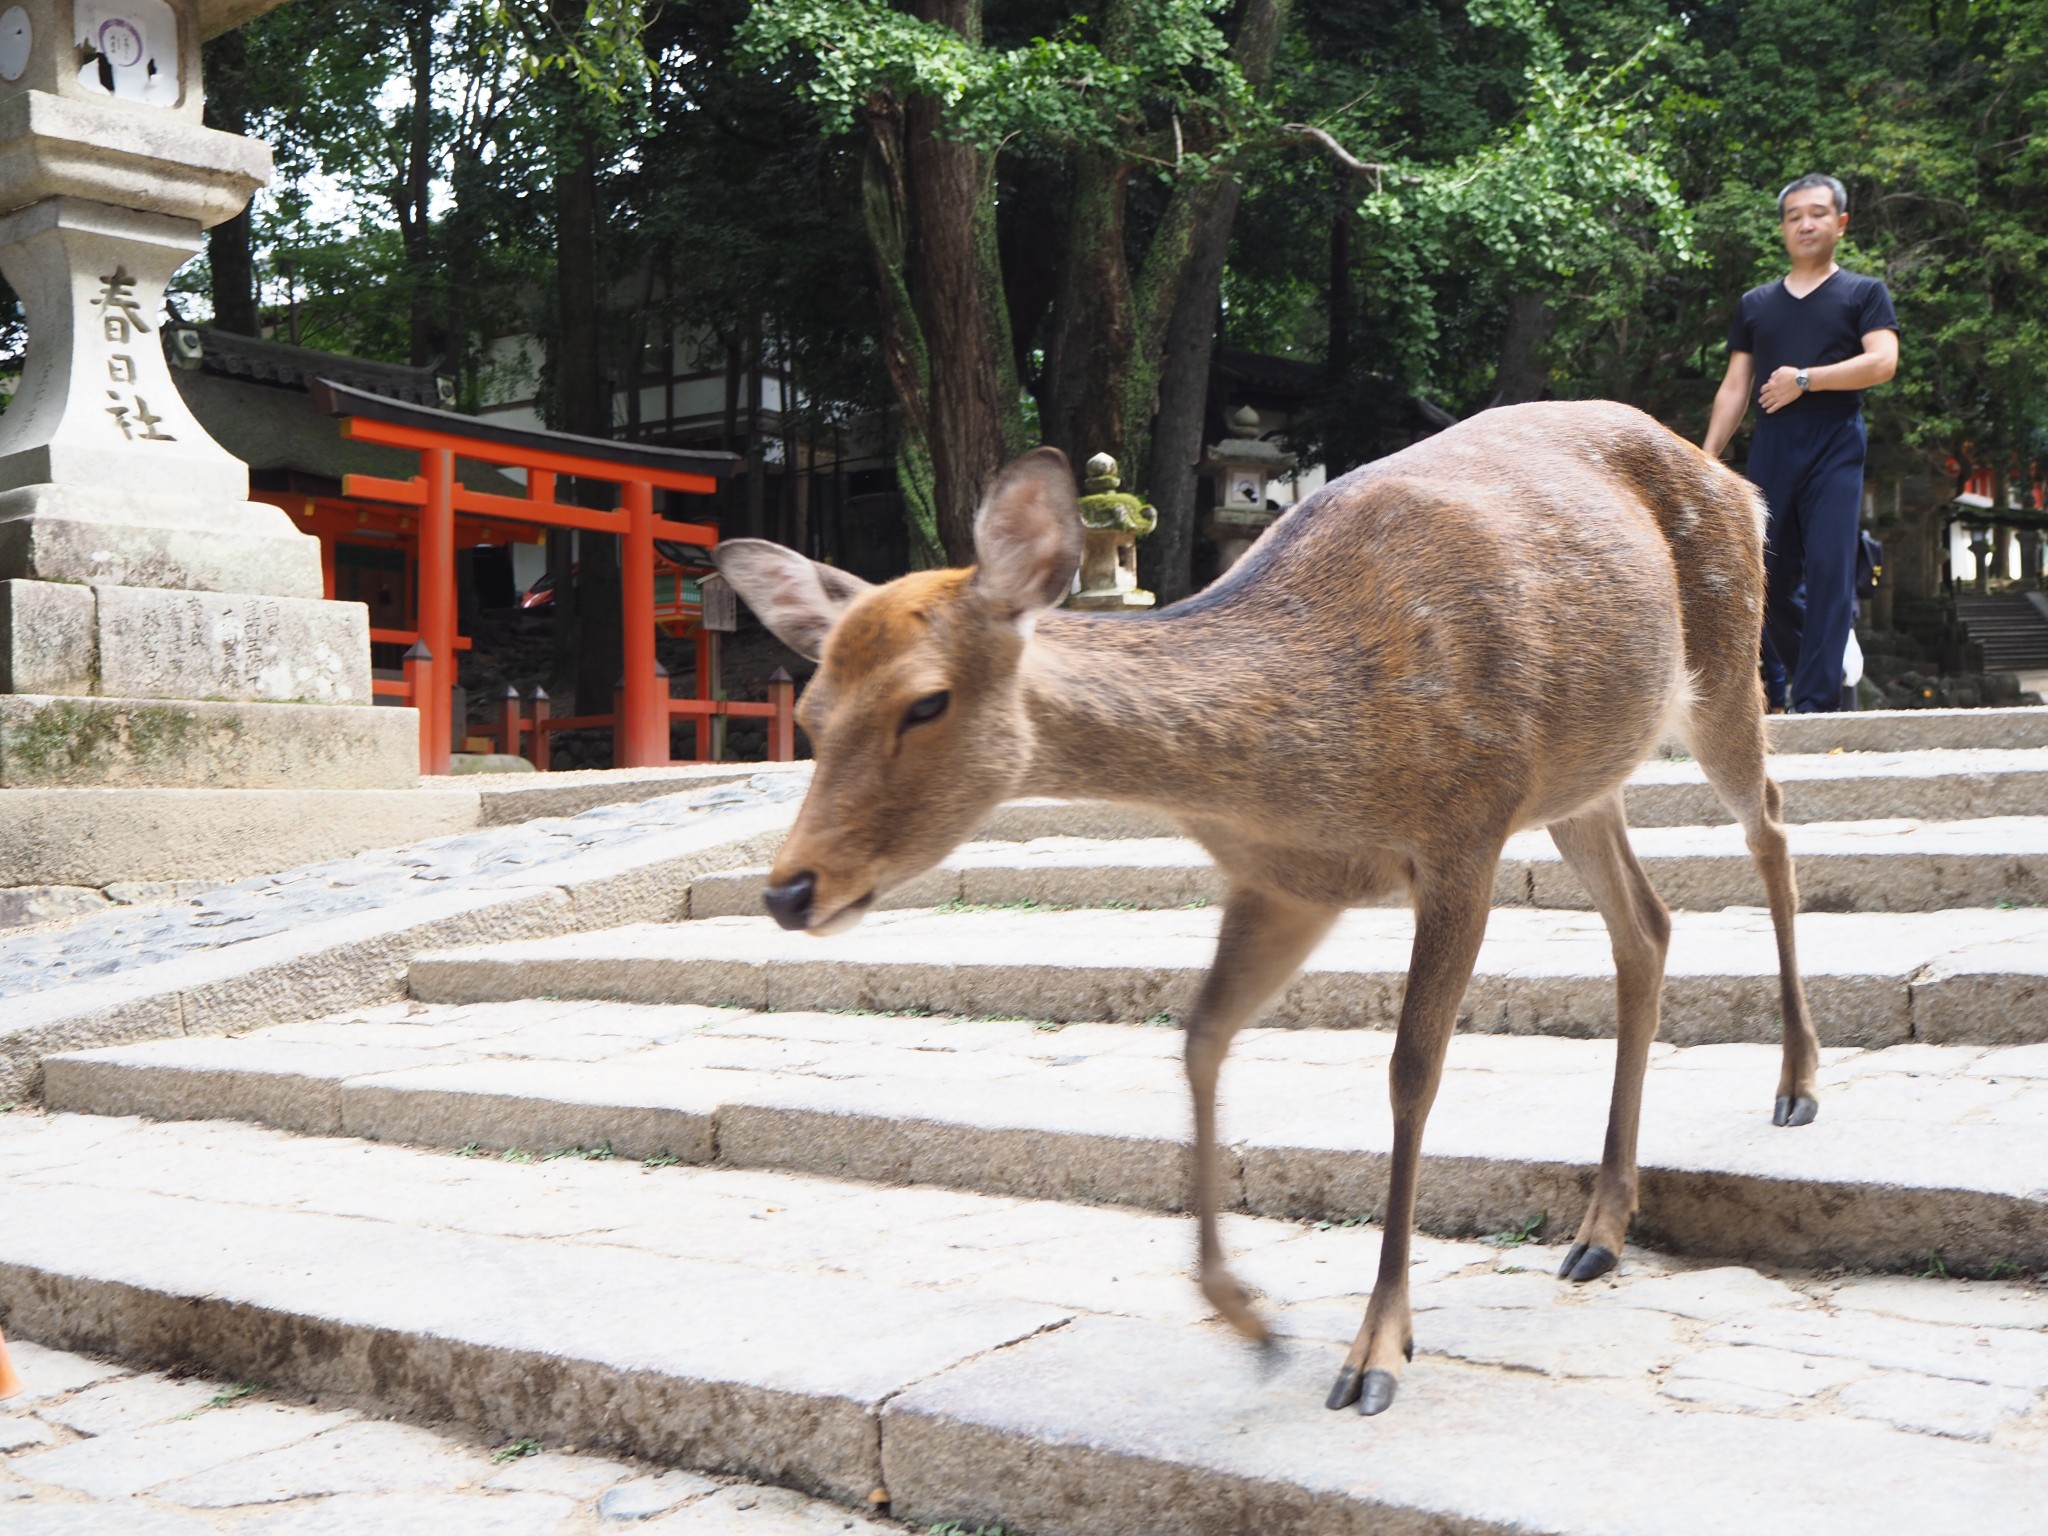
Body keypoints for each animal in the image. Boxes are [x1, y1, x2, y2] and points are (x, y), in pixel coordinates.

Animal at [712, 403, 1818, 1425]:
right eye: (809, 714)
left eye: (926, 702)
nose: (788, 890)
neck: (1306, 760)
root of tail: (1740, 483)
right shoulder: (1286, 883)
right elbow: (1201, 1038)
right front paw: (1251, 1319)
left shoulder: (1463, 830)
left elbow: (1410, 1072)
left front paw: (1375, 1353)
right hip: (1580, 782)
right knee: (1647, 926)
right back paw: (1599, 1228)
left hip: (1723, 661)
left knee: (1767, 821)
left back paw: (1795, 1085)